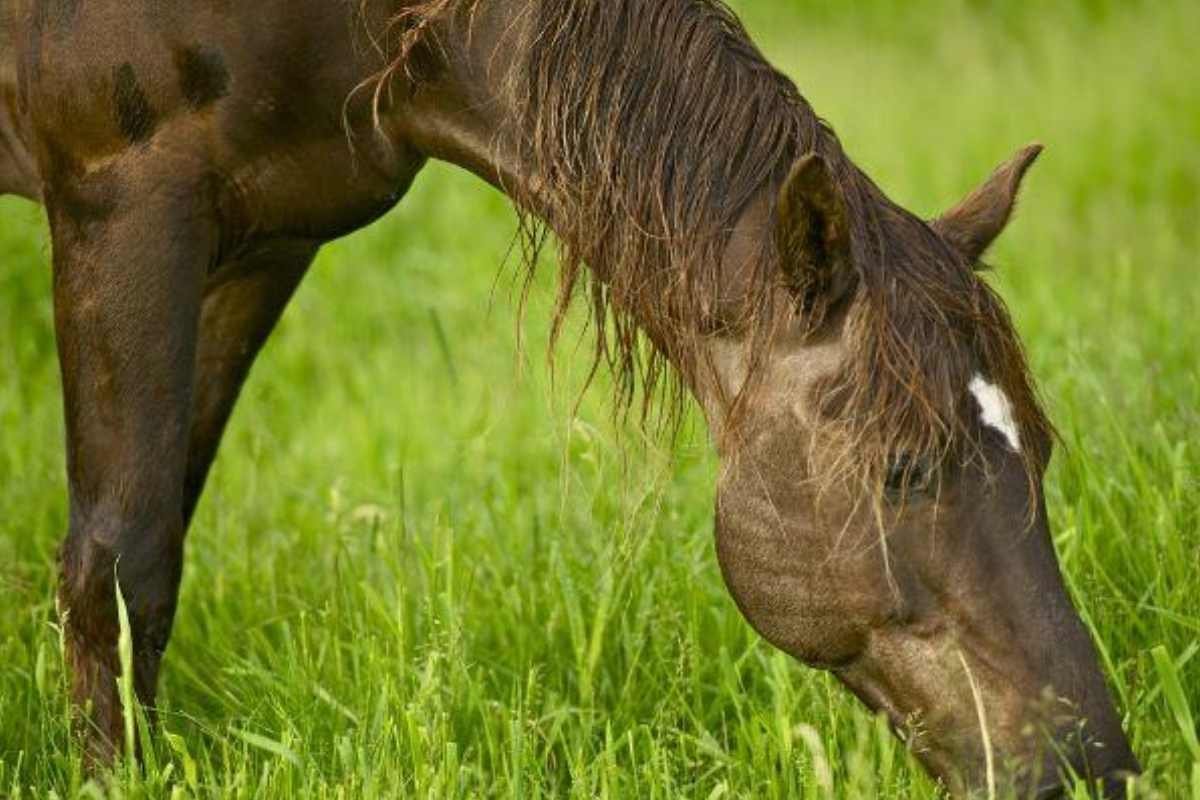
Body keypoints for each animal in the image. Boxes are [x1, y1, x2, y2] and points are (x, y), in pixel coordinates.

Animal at [0, 0, 1139, 795]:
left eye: (1039, 453)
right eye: (903, 469)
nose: (1093, 766)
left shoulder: (261, 241)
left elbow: (161, 538)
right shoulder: (121, 199)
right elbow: (119, 560)